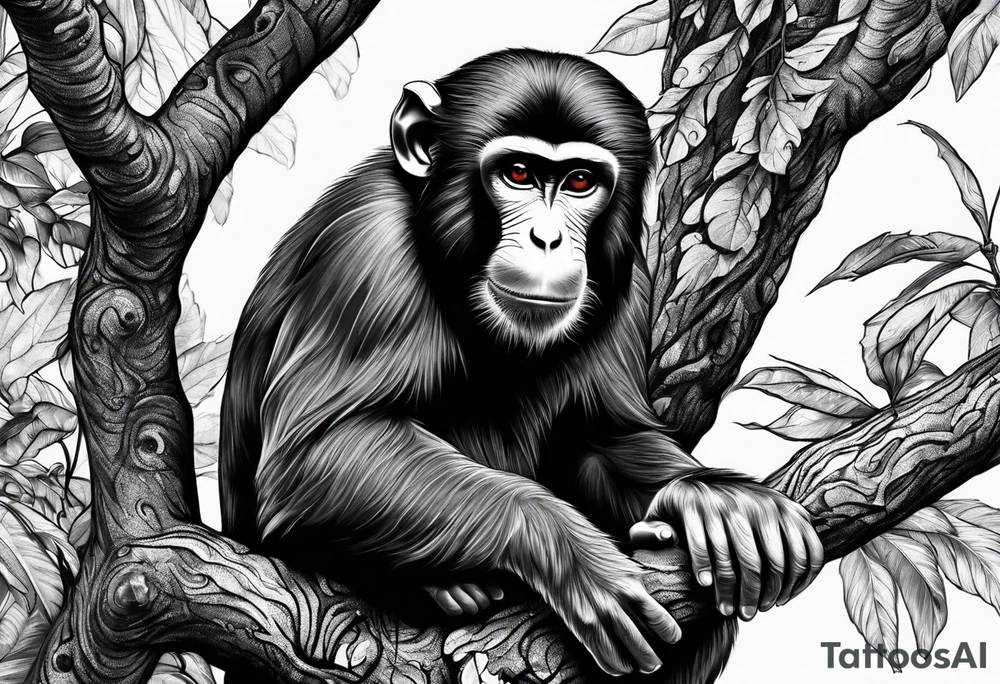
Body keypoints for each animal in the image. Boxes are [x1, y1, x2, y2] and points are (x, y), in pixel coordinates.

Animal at [219, 49, 823, 680]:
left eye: (580, 181)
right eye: (517, 174)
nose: (547, 238)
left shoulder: (626, 279)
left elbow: (601, 435)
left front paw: (709, 498)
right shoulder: (366, 250)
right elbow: (317, 450)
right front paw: (569, 550)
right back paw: (446, 587)